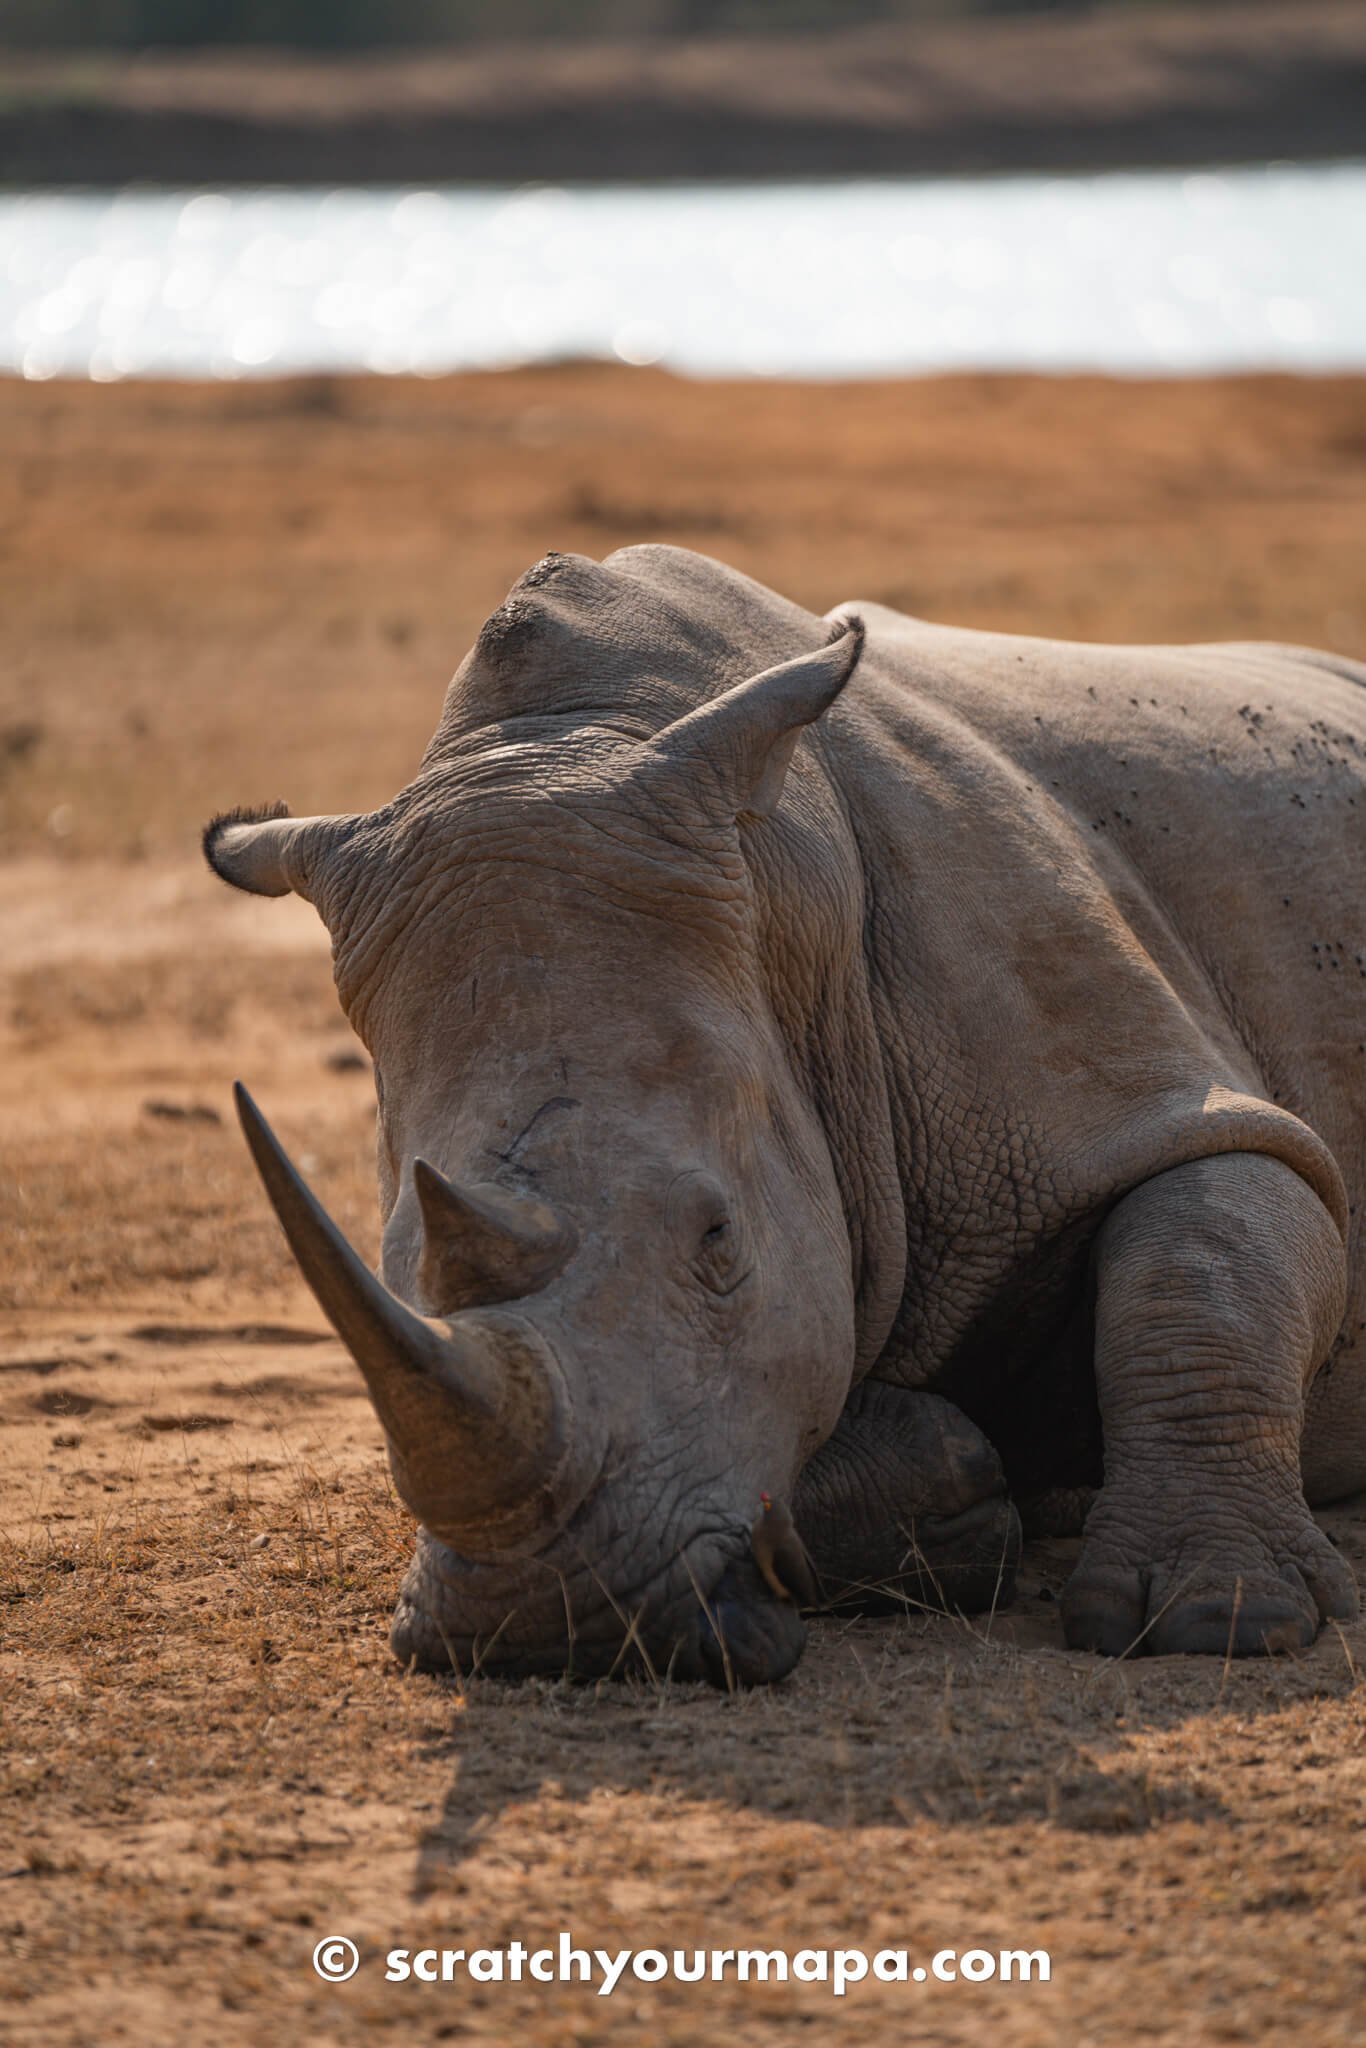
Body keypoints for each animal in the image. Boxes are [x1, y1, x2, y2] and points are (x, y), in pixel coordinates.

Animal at [202, 544, 1366, 1679]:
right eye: (396, 1269)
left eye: (721, 1239)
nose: (539, 1627)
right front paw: (950, 1490)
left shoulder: (1144, 1088)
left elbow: (1204, 1256)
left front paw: (1217, 1619)